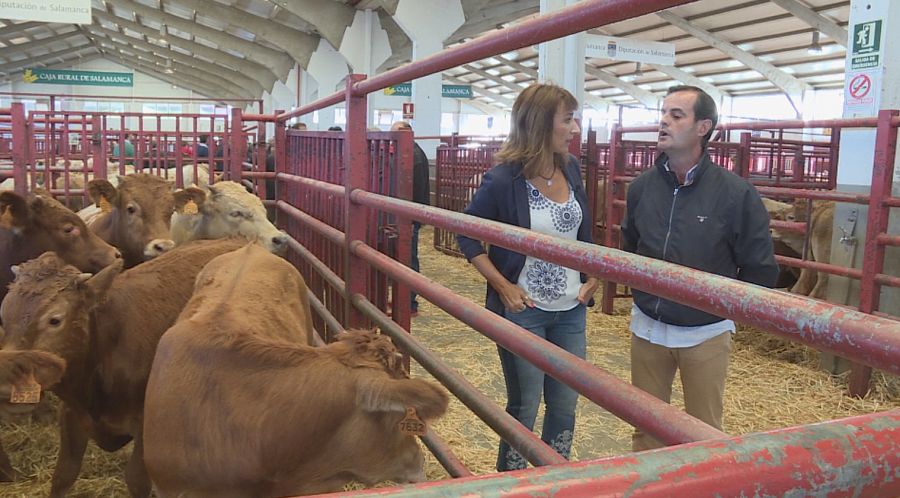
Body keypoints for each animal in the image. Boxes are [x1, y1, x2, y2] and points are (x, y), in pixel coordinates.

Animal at [0, 239, 246, 496]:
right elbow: (63, 475)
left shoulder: (146, 424)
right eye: (4, 315)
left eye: (54, 319)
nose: (8, 380)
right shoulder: (71, 413)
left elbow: (136, 480)